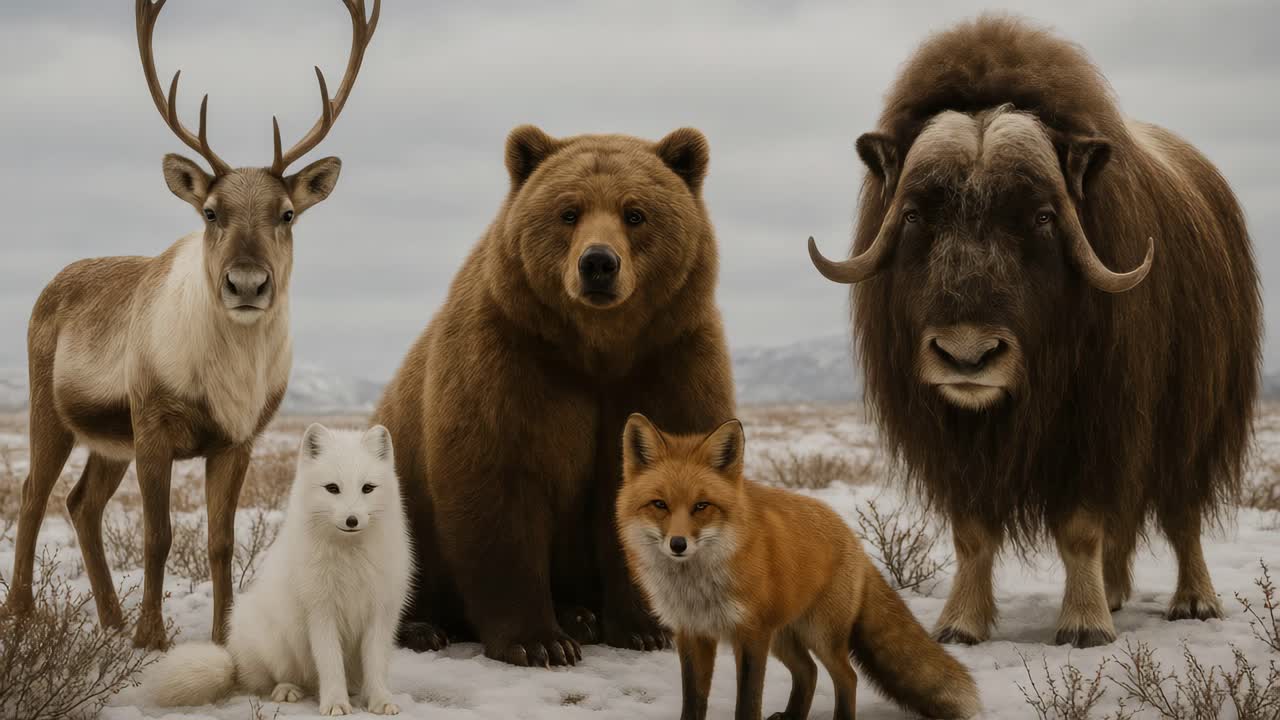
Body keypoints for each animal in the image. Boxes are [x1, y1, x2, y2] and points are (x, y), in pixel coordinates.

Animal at [142, 424, 411, 716]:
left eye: (368, 488)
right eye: (332, 488)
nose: (352, 520)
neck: (350, 557)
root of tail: (235, 663)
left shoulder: (380, 613)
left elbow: (376, 665)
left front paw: (380, 700)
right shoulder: (320, 611)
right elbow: (330, 664)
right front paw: (335, 703)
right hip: (274, 643)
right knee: (265, 682)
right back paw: (287, 690)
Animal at [374, 125, 735, 667]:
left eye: (635, 212)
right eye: (569, 211)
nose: (598, 263)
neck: (596, 352)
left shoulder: (669, 360)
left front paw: (645, 629)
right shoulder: (511, 361)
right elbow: (499, 487)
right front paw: (538, 642)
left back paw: (581, 616)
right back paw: (423, 628)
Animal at [617, 413, 980, 720]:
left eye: (701, 506)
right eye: (659, 505)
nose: (678, 544)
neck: (696, 588)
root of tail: (851, 535)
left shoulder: (751, 634)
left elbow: (747, 704)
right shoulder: (692, 633)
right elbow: (693, 702)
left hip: (820, 635)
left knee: (845, 675)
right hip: (785, 636)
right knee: (808, 671)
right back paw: (792, 716)